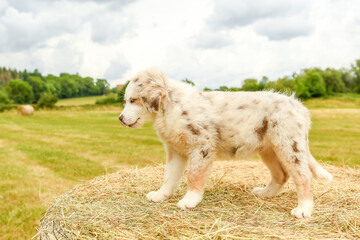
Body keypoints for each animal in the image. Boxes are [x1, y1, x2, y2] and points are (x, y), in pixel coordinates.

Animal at [119, 68, 334, 218]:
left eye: (133, 100)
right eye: (126, 101)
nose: (120, 119)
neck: (170, 106)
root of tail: (300, 107)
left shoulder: (202, 147)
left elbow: (193, 176)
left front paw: (189, 200)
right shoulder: (175, 150)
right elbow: (168, 177)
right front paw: (160, 196)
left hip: (289, 145)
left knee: (303, 176)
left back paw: (304, 209)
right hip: (269, 149)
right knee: (281, 175)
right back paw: (265, 194)